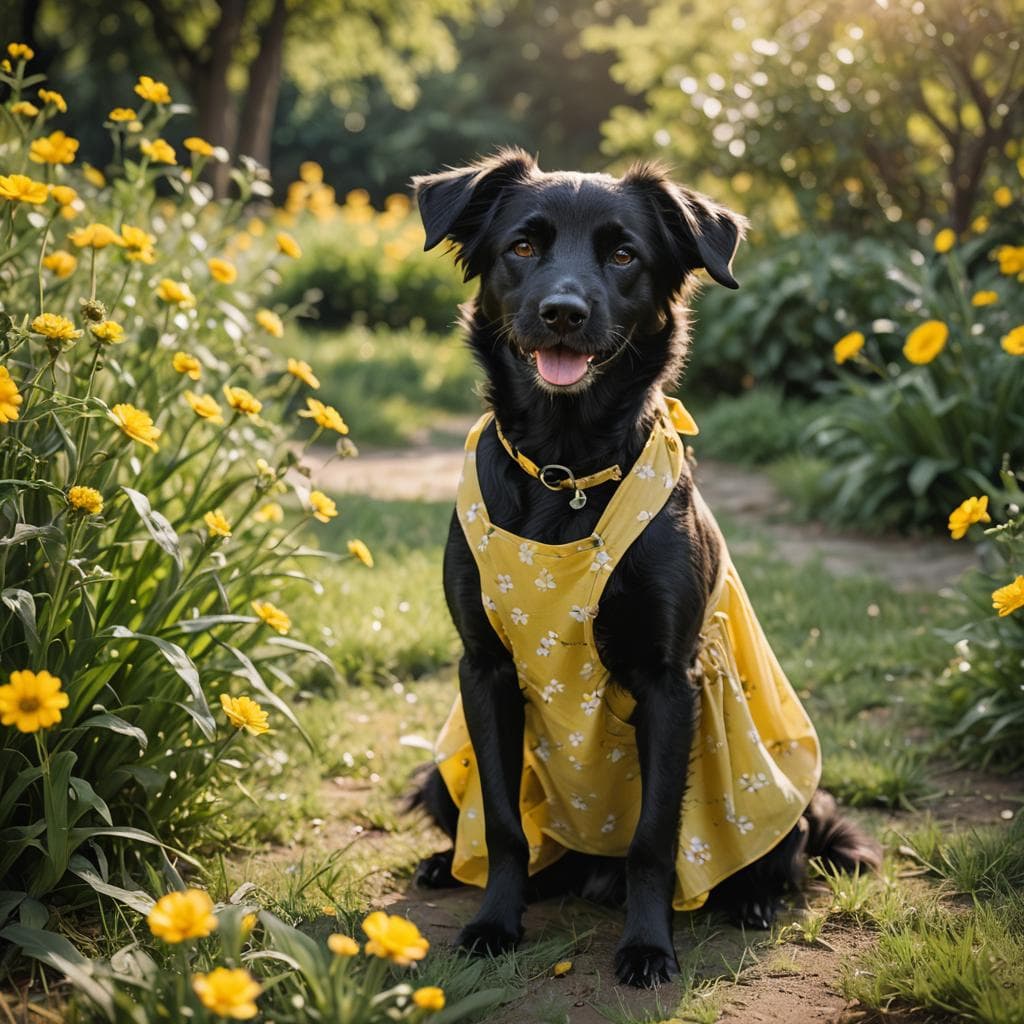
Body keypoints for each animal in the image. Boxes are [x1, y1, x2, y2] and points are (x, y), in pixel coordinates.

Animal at [407, 148, 880, 987]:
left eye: (624, 255)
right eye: (522, 247)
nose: (563, 311)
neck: (564, 468)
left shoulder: (670, 680)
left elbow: (655, 839)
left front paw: (649, 947)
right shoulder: (483, 670)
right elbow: (501, 823)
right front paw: (494, 922)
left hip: (790, 794)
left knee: (784, 853)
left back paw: (750, 899)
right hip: (440, 768)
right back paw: (449, 867)